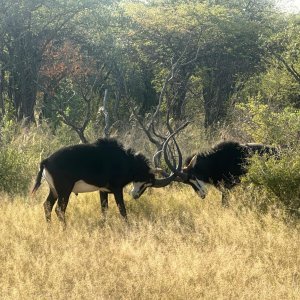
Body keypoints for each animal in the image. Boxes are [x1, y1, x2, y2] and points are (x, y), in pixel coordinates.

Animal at [32, 138, 178, 227]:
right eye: (147, 182)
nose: (135, 195)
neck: (126, 161)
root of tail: (46, 161)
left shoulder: (103, 190)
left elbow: (104, 209)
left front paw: (104, 225)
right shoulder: (117, 189)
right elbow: (122, 210)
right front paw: (128, 227)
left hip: (54, 191)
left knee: (47, 205)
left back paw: (50, 228)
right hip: (64, 191)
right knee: (59, 209)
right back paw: (65, 230)